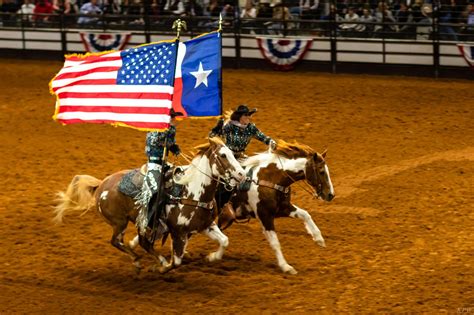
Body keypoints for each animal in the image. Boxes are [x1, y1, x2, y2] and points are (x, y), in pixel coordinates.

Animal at [53, 138, 246, 274]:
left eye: (232, 153)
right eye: (223, 156)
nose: (242, 174)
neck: (190, 191)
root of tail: (101, 185)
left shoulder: (206, 225)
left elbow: (224, 240)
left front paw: (212, 257)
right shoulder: (178, 232)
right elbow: (176, 262)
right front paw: (162, 268)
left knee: (140, 242)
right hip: (120, 222)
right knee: (118, 241)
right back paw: (142, 261)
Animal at [218, 139, 334, 276]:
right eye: (321, 171)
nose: (331, 195)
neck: (272, 179)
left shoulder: (283, 208)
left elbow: (305, 214)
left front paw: (319, 238)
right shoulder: (265, 215)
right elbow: (275, 243)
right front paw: (286, 266)